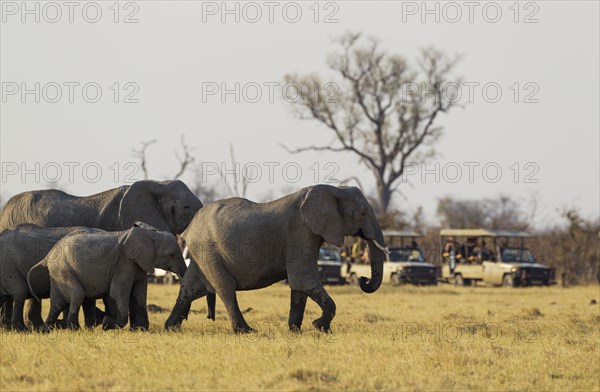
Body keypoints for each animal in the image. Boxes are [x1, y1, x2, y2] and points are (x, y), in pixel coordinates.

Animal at [28, 224, 186, 330]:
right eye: (172, 255)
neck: (151, 235)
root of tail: (48, 255)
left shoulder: (139, 263)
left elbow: (139, 293)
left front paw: (141, 330)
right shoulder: (124, 262)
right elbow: (117, 292)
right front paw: (106, 324)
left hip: (58, 272)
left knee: (57, 303)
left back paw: (46, 330)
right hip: (63, 269)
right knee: (77, 295)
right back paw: (74, 329)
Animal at [166, 185, 386, 334]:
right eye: (363, 213)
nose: (362, 279)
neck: (333, 189)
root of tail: (189, 228)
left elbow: (299, 285)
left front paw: (295, 330)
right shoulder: (301, 232)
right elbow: (304, 279)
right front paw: (320, 327)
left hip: (201, 252)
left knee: (191, 287)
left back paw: (171, 327)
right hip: (208, 249)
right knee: (225, 287)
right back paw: (246, 331)